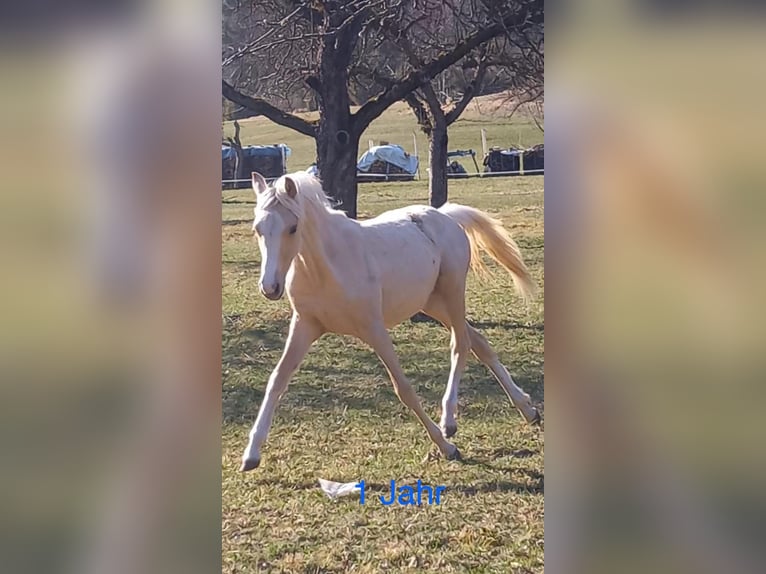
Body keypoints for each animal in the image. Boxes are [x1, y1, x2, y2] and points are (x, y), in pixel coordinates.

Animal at [243, 171, 544, 472]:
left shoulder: (374, 329)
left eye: (293, 228)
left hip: (453, 294)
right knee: (478, 342)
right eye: (258, 229)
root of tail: (444, 215)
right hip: (431, 303)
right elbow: (277, 380)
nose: (270, 287)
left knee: (461, 344)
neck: (327, 268)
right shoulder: (305, 325)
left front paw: (446, 447)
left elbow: (404, 388)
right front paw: (251, 455)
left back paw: (449, 421)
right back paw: (528, 409)